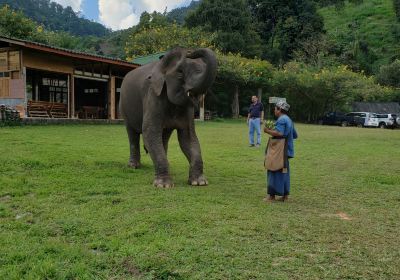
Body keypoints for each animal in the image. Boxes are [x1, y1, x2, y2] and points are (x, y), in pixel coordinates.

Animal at [120, 47, 217, 188]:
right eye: (180, 72)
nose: (189, 52)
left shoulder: (187, 109)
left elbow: (188, 138)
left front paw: (199, 182)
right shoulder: (153, 97)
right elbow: (150, 132)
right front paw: (164, 185)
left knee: (163, 137)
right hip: (124, 108)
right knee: (132, 134)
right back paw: (133, 166)